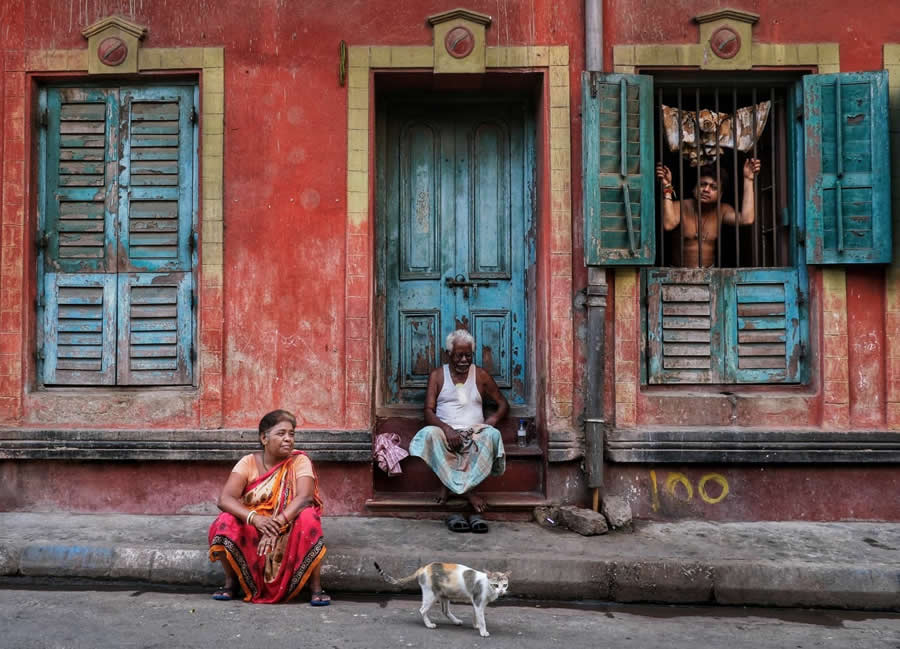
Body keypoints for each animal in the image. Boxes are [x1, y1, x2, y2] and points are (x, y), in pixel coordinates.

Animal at [374, 560, 510, 636]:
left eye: (504, 585)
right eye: (495, 585)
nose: (501, 591)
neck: (487, 584)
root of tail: (423, 568)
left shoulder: (477, 604)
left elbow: (476, 616)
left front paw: (476, 626)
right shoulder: (478, 602)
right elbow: (482, 619)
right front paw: (483, 631)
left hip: (444, 595)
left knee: (445, 611)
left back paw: (456, 621)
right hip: (431, 595)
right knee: (422, 610)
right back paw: (429, 624)